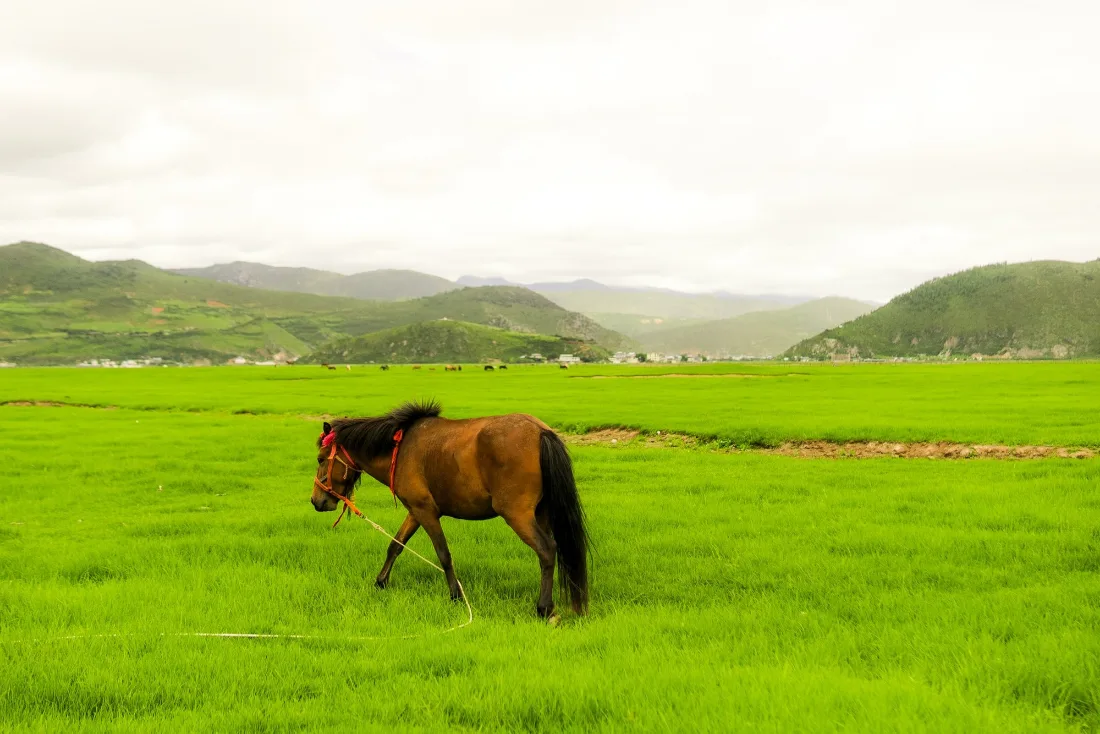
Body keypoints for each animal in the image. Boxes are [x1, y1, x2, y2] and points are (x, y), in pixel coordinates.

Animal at [310, 401, 589, 619]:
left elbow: (443, 554)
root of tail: (541, 431)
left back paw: (544, 608)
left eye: (321, 459)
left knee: (546, 550)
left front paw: (455, 595)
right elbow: (396, 545)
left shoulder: (426, 511)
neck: (400, 448)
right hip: (541, 513)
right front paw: (381, 582)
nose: (316, 501)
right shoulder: (415, 511)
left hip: (517, 514)